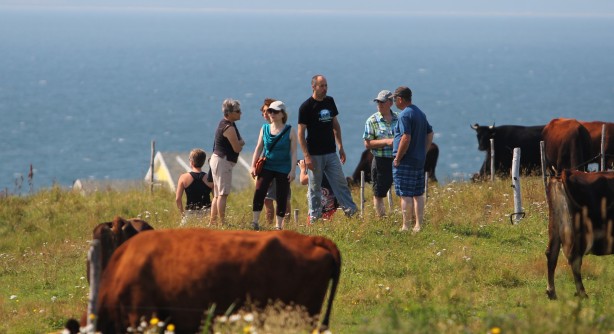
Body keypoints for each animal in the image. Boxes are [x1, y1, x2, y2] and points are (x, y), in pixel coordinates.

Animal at [548, 168, 614, 298]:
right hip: (579, 234)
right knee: (575, 260)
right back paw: (582, 293)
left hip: (554, 227)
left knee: (551, 254)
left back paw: (551, 292)